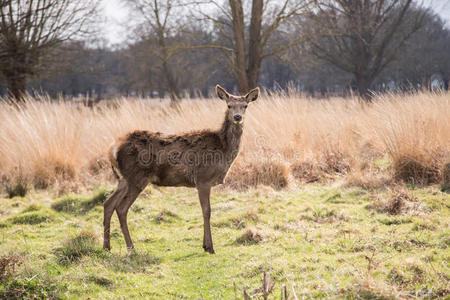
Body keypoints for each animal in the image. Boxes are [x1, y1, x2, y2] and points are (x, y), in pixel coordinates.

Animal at [103, 84, 258, 253]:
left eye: (245, 106)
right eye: (229, 105)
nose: (237, 117)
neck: (223, 151)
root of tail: (113, 148)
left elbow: (204, 210)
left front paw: (204, 245)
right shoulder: (203, 179)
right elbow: (207, 211)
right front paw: (209, 247)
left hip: (123, 179)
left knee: (108, 204)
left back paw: (107, 247)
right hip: (137, 178)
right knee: (121, 208)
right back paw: (131, 248)